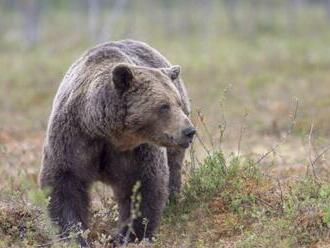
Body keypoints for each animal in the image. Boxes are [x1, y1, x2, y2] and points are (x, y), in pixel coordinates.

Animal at [39, 39, 195, 247]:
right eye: (164, 106)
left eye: (177, 103)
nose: (189, 131)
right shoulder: (73, 138)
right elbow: (64, 183)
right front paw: (75, 235)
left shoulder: (136, 150)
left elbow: (143, 186)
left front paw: (128, 236)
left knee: (173, 168)